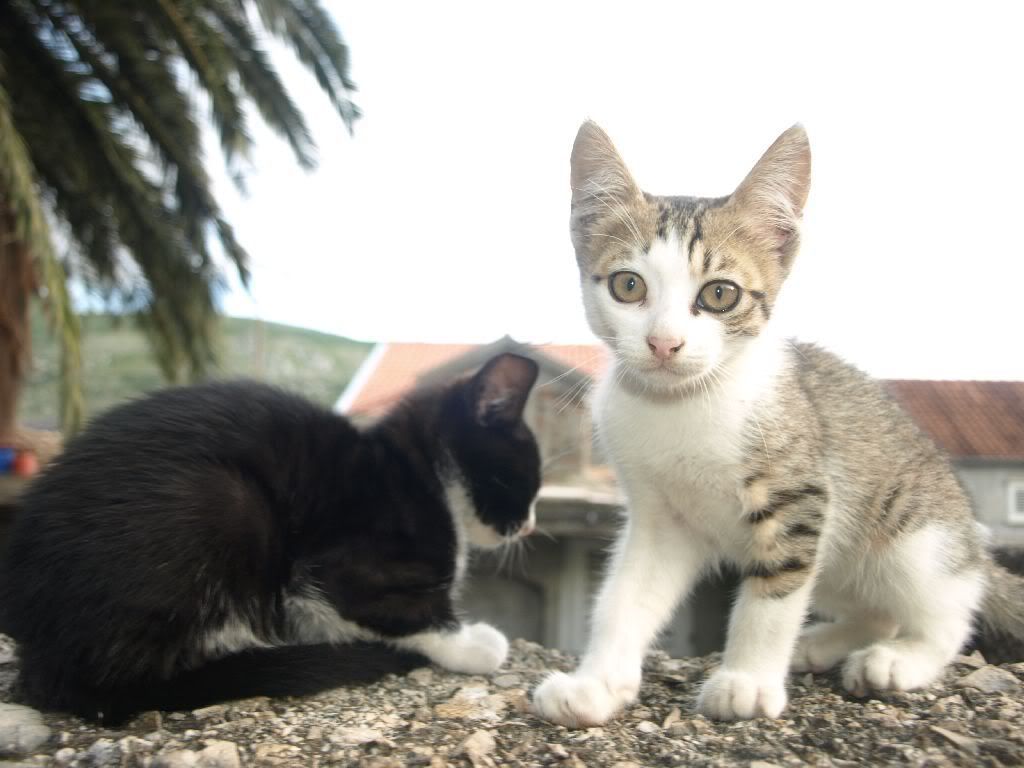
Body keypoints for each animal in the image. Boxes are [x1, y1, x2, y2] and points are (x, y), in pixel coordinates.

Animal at [0, 352, 541, 724]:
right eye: (530, 480)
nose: (531, 526)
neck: (420, 472)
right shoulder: (341, 568)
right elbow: (415, 615)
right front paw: (477, 643)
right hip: (223, 503)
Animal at [532, 122, 1024, 725]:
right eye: (629, 286)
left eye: (720, 293)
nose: (664, 343)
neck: (681, 406)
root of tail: (973, 545)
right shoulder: (659, 518)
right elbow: (624, 598)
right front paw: (596, 685)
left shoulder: (801, 498)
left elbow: (772, 596)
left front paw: (746, 681)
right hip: (842, 560)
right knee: (878, 609)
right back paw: (824, 643)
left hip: (911, 538)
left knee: (949, 612)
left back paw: (899, 658)